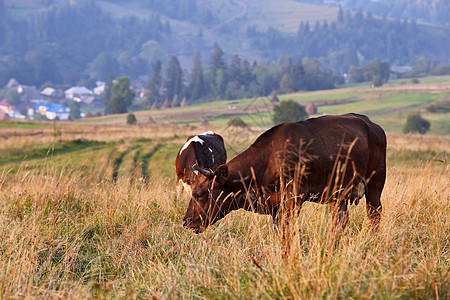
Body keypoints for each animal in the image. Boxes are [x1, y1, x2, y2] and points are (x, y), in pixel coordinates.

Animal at [183, 113, 386, 243]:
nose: (186, 222)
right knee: (340, 221)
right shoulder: (275, 208)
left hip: (374, 184)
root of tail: (371, 124)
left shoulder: (293, 200)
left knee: (374, 216)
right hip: (339, 194)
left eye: (200, 194)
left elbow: (288, 233)